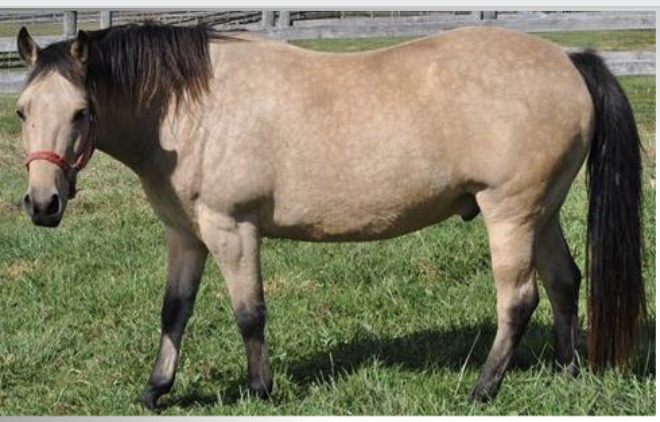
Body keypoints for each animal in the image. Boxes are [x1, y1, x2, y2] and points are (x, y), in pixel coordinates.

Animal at [15, 23, 645, 409]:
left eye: (81, 111)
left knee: (518, 300)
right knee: (564, 282)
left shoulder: (232, 229)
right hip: (543, 212)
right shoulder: (184, 235)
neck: (193, 110)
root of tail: (567, 59)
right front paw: (154, 391)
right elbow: (175, 312)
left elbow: (249, 314)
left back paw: (482, 390)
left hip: (509, 214)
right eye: (22, 111)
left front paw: (261, 389)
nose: (42, 204)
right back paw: (565, 371)